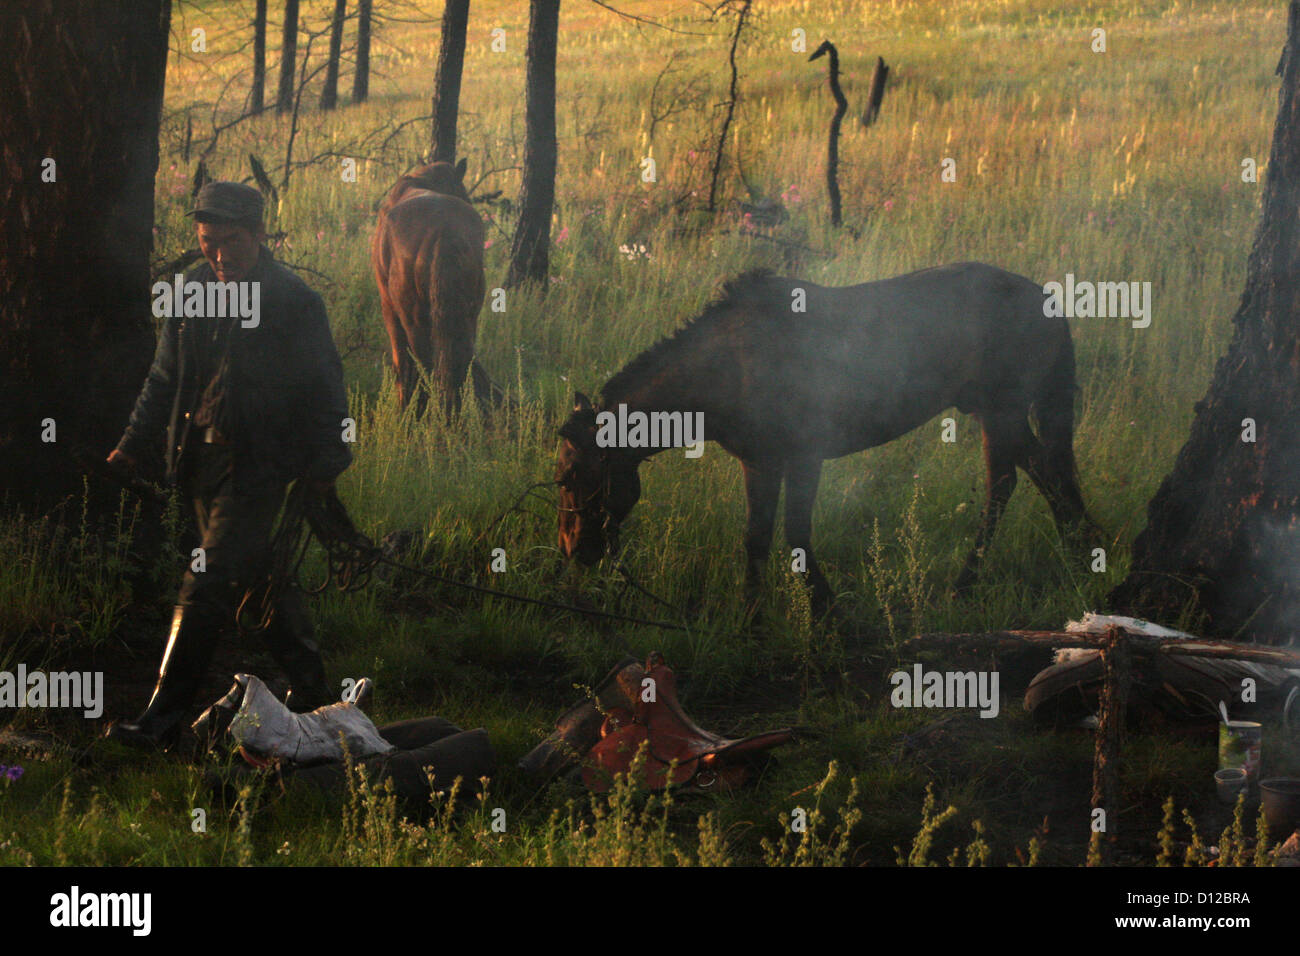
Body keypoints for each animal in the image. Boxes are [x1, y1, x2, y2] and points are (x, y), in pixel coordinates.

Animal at [374, 160, 488, 416]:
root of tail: (445, 233)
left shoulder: (388, 308)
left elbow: (401, 361)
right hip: (469, 316)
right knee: (458, 363)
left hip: (413, 317)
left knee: (423, 364)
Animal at [556, 261, 1097, 613]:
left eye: (569, 478)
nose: (572, 551)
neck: (729, 367)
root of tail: (1046, 301)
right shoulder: (759, 462)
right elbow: (757, 534)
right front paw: (758, 609)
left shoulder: (802, 458)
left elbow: (791, 532)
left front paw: (816, 606)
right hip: (991, 412)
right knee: (1037, 473)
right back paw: (1074, 549)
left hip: (1002, 412)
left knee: (1014, 484)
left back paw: (980, 580)